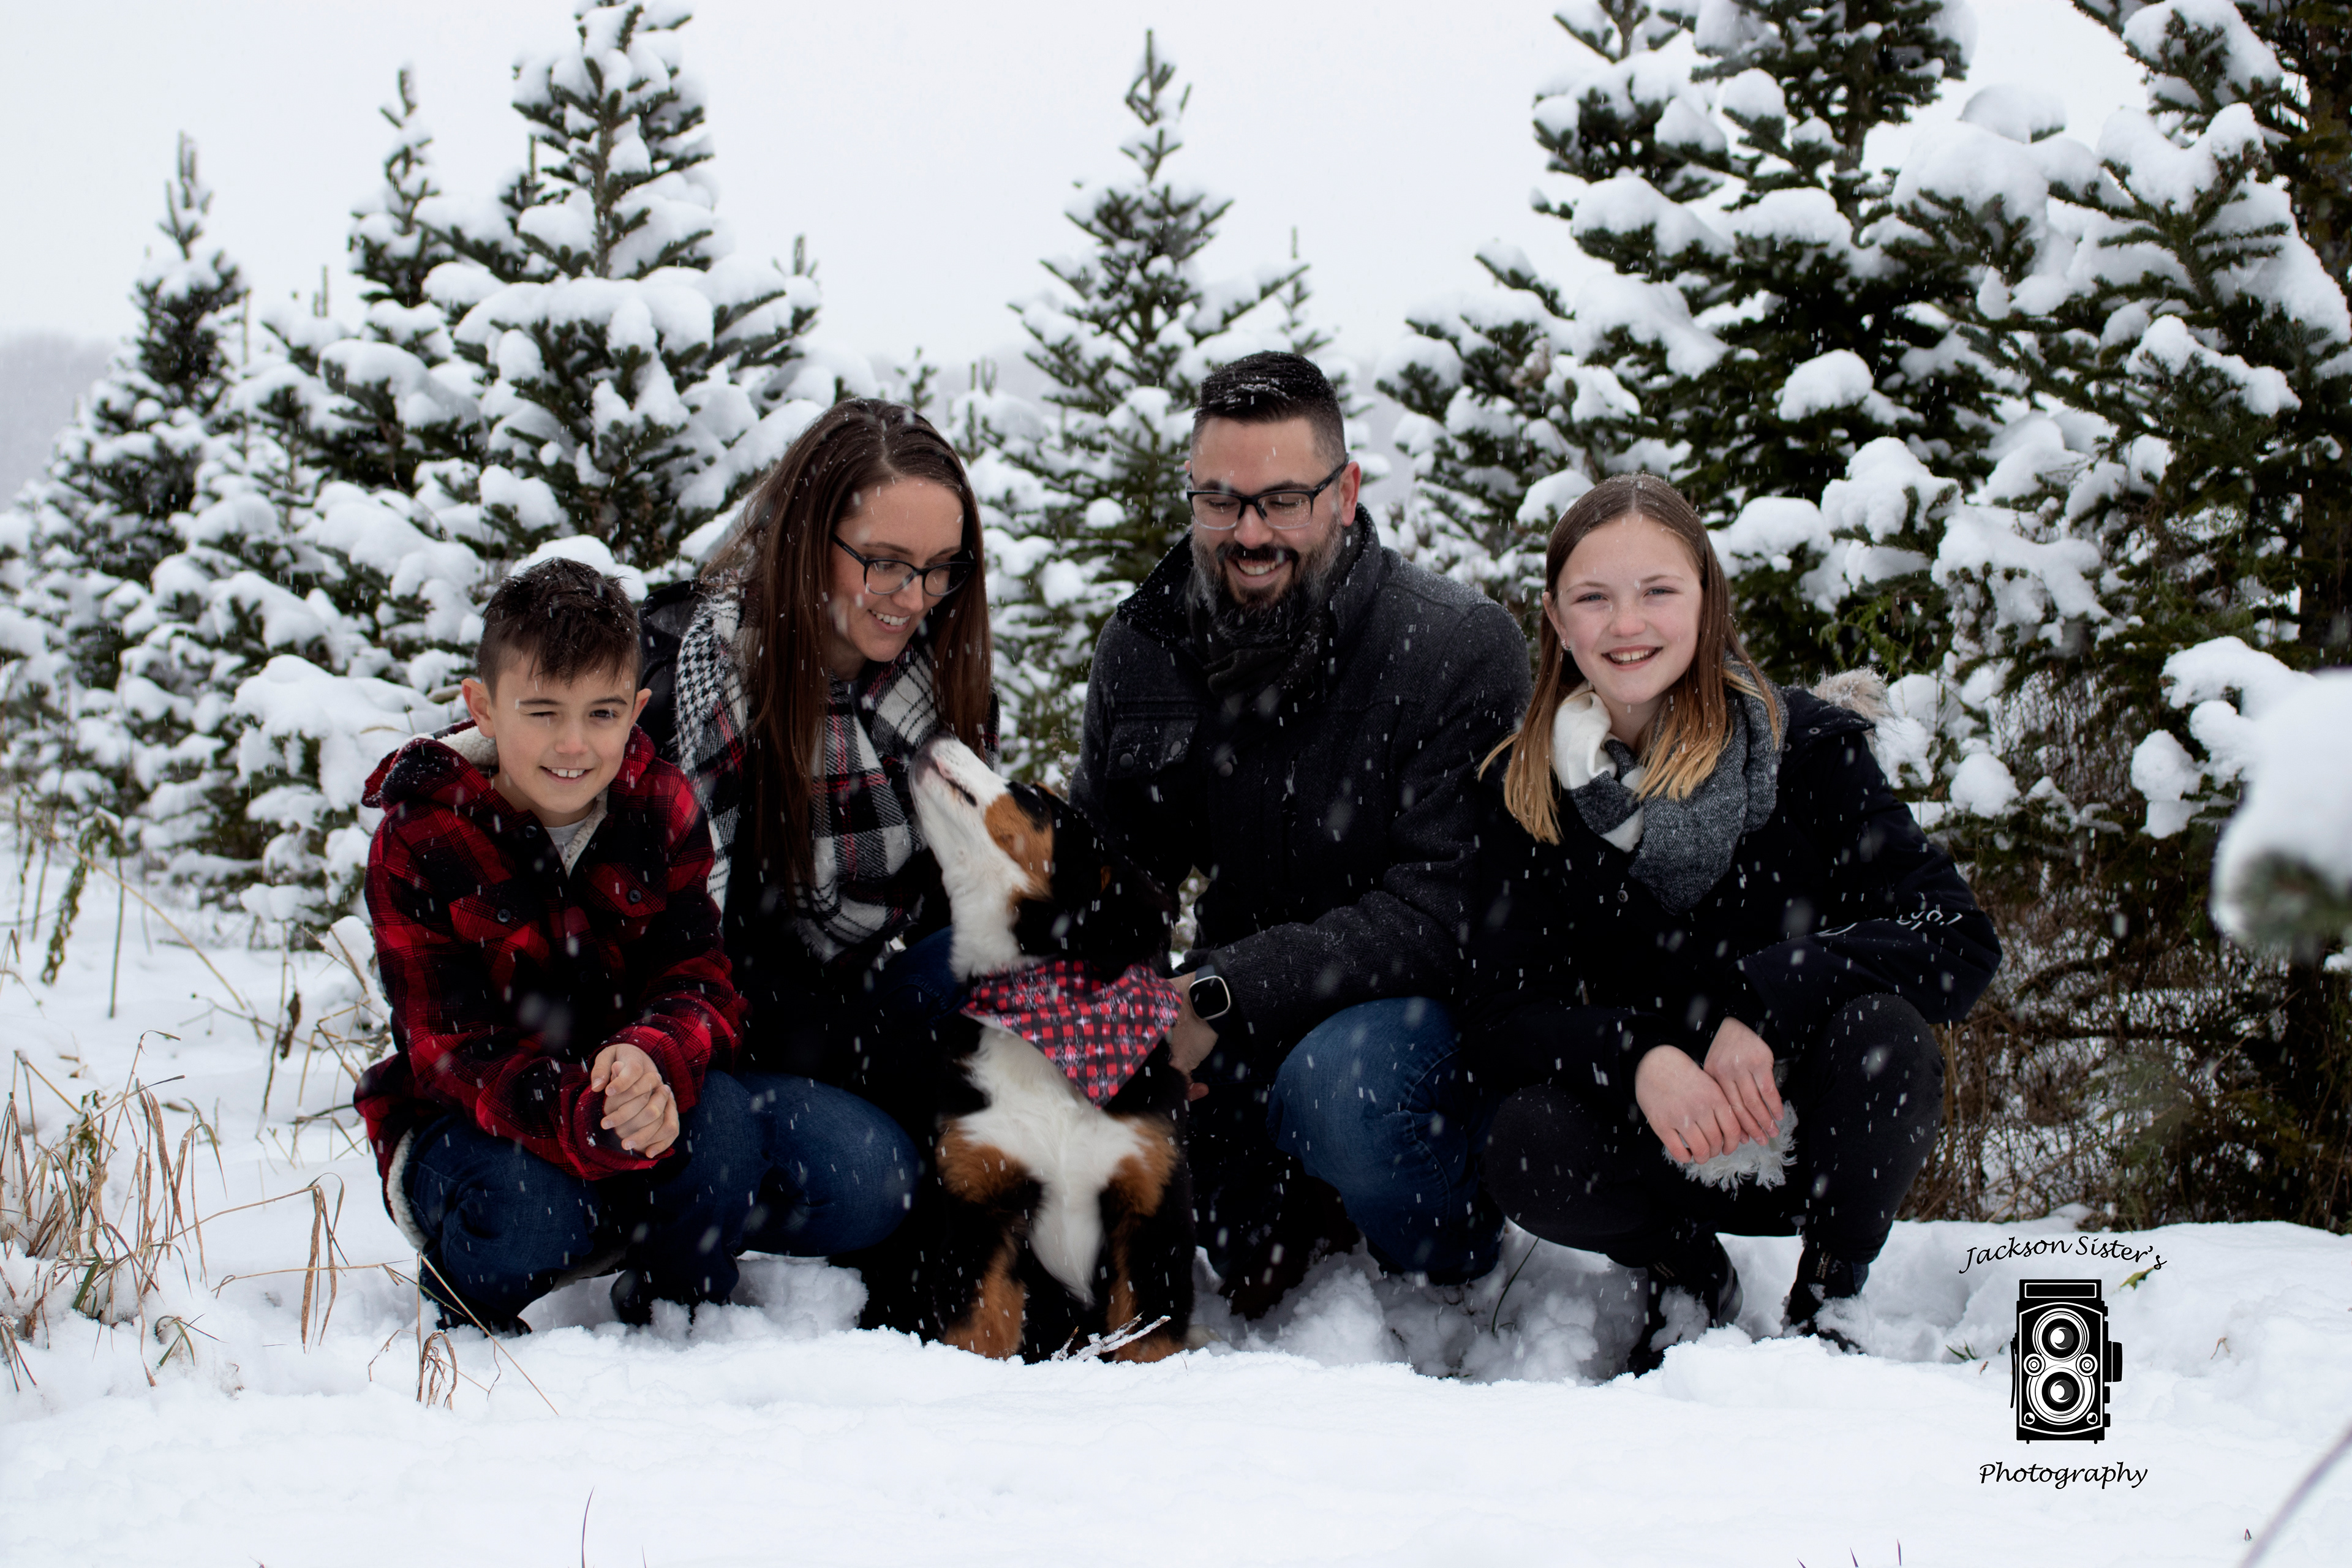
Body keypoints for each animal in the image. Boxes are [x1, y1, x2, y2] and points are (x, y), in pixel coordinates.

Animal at [856, 735, 1194, 1363]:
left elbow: (1148, 1340)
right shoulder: (982, 1201)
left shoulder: (1151, 1202)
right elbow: (979, 1330)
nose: (937, 736)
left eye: (1034, 797)